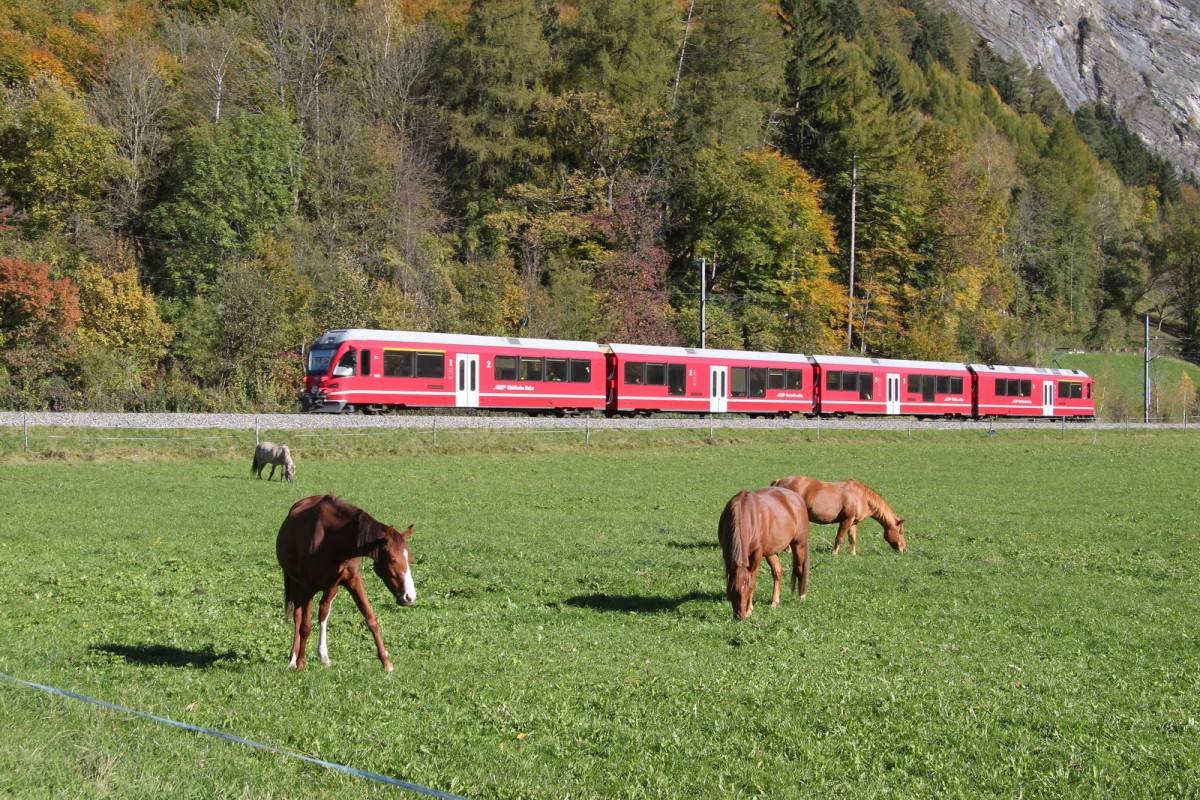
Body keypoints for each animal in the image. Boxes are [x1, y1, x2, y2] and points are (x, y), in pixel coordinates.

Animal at [276, 496, 417, 671]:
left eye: (409, 558)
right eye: (392, 560)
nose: (410, 596)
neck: (332, 540)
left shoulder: (353, 580)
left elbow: (371, 618)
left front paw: (386, 663)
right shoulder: (307, 588)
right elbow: (305, 626)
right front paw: (301, 664)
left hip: (332, 587)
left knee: (323, 612)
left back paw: (324, 656)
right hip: (296, 584)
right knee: (298, 616)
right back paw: (293, 659)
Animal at [715, 484, 811, 623]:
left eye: (749, 589)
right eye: (732, 589)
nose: (740, 616)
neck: (745, 514)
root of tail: (798, 498)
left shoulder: (757, 554)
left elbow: (753, 577)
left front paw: (750, 609)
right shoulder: (727, 554)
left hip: (799, 545)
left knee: (800, 568)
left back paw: (802, 596)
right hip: (771, 551)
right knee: (777, 571)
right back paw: (774, 602)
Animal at [772, 474, 902, 556]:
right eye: (900, 532)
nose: (903, 549)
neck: (861, 496)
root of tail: (779, 481)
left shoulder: (853, 522)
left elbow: (852, 539)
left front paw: (853, 554)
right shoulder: (846, 520)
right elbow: (839, 537)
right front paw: (834, 553)